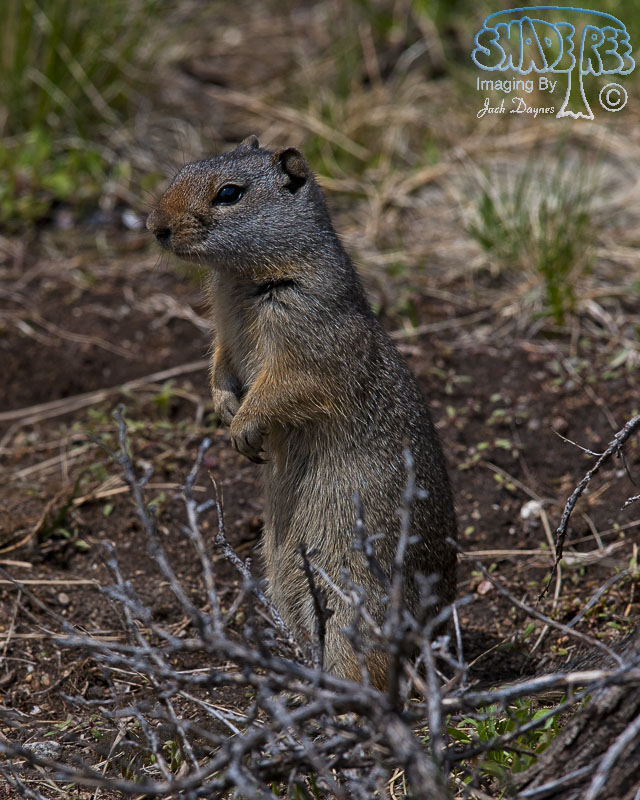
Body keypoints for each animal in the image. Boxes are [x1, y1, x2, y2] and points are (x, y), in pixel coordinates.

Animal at [146, 135, 457, 688]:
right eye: (181, 172)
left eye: (229, 194)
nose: (154, 225)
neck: (239, 278)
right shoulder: (223, 331)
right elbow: (219, 364)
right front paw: (223, 406)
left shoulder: (304, 337)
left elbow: (283, 387)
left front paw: (244, 428)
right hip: (286, 580)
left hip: (357, 594)